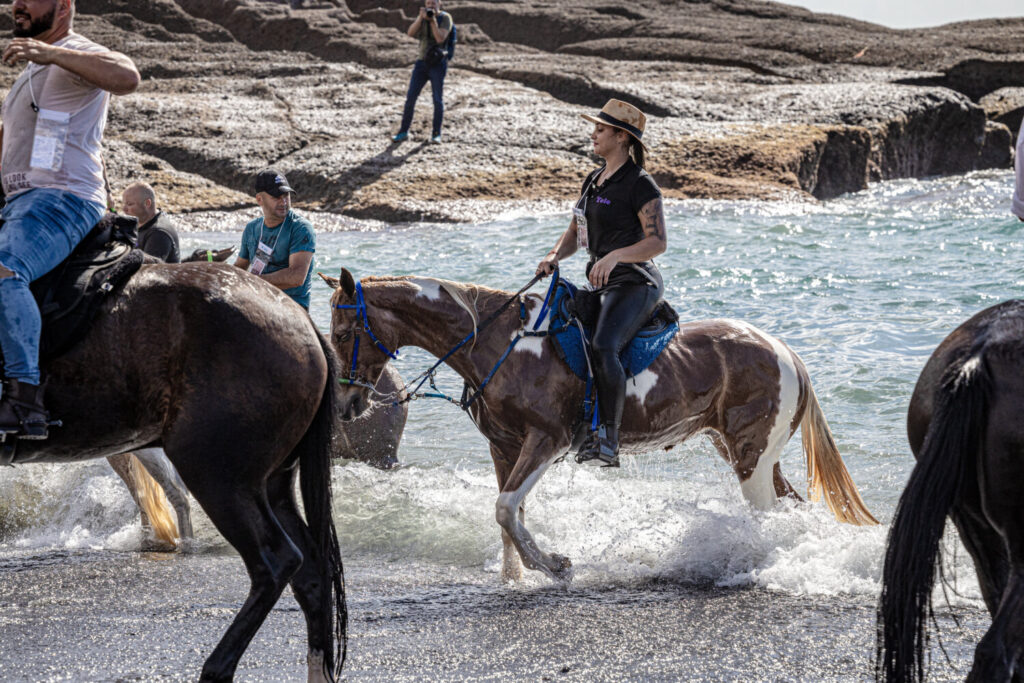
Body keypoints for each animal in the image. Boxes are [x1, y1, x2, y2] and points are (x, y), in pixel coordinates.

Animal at [1, 264, 348, 683]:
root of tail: (302, 322)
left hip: (217, 476)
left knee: (275, 562)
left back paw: (216, 668)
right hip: (270, 483)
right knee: (311, 571)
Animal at [323, 270, 876, 585]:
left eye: (344, 333)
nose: (347, 404)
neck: (500, 343)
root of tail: (787, 353)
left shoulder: (547, 440)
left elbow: (504, 508)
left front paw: (554, 566)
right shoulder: (505, 447)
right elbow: (508, 514)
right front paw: (515, 578)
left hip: (750, 456)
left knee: (766, 516)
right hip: (744, 450)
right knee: (789, 507)